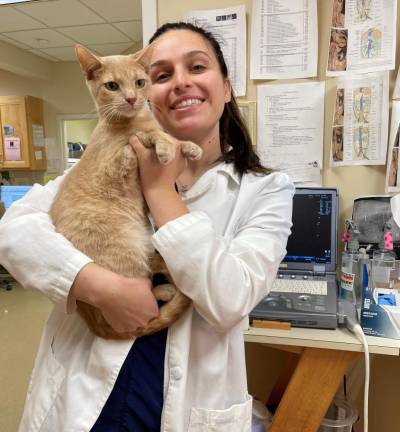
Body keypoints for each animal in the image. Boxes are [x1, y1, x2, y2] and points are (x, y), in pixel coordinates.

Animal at [48, 44, 202, 340]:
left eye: (140, 82)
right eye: (112, 86)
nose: (131, 99)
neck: (135, 120)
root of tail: (92, 321)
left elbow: (170, 137)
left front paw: (189, 147)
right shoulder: (116, 160)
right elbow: (144, 137)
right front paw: (165, 146)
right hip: (128, 250)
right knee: (145, 303)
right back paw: (164, 289)